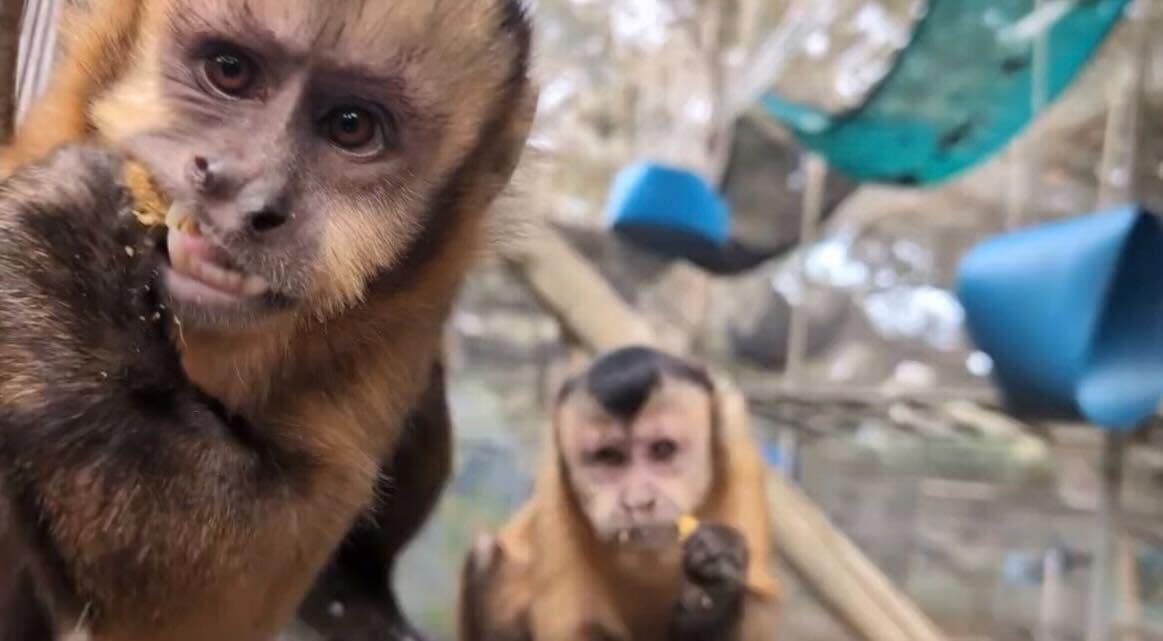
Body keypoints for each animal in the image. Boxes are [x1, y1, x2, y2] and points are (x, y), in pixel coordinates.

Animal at [0, 0, 536, 639]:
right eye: (229, 71)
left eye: (351, 127)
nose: (243, 190)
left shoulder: (397, 340)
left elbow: (216, 605)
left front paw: (67, 267)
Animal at [459, 346, 780, 641]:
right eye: (609, 456)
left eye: (663, 449)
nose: (638, 502)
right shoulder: (552, 486)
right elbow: (573, 630)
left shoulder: (742, 464)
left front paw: (711, 590)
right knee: (485, 552)